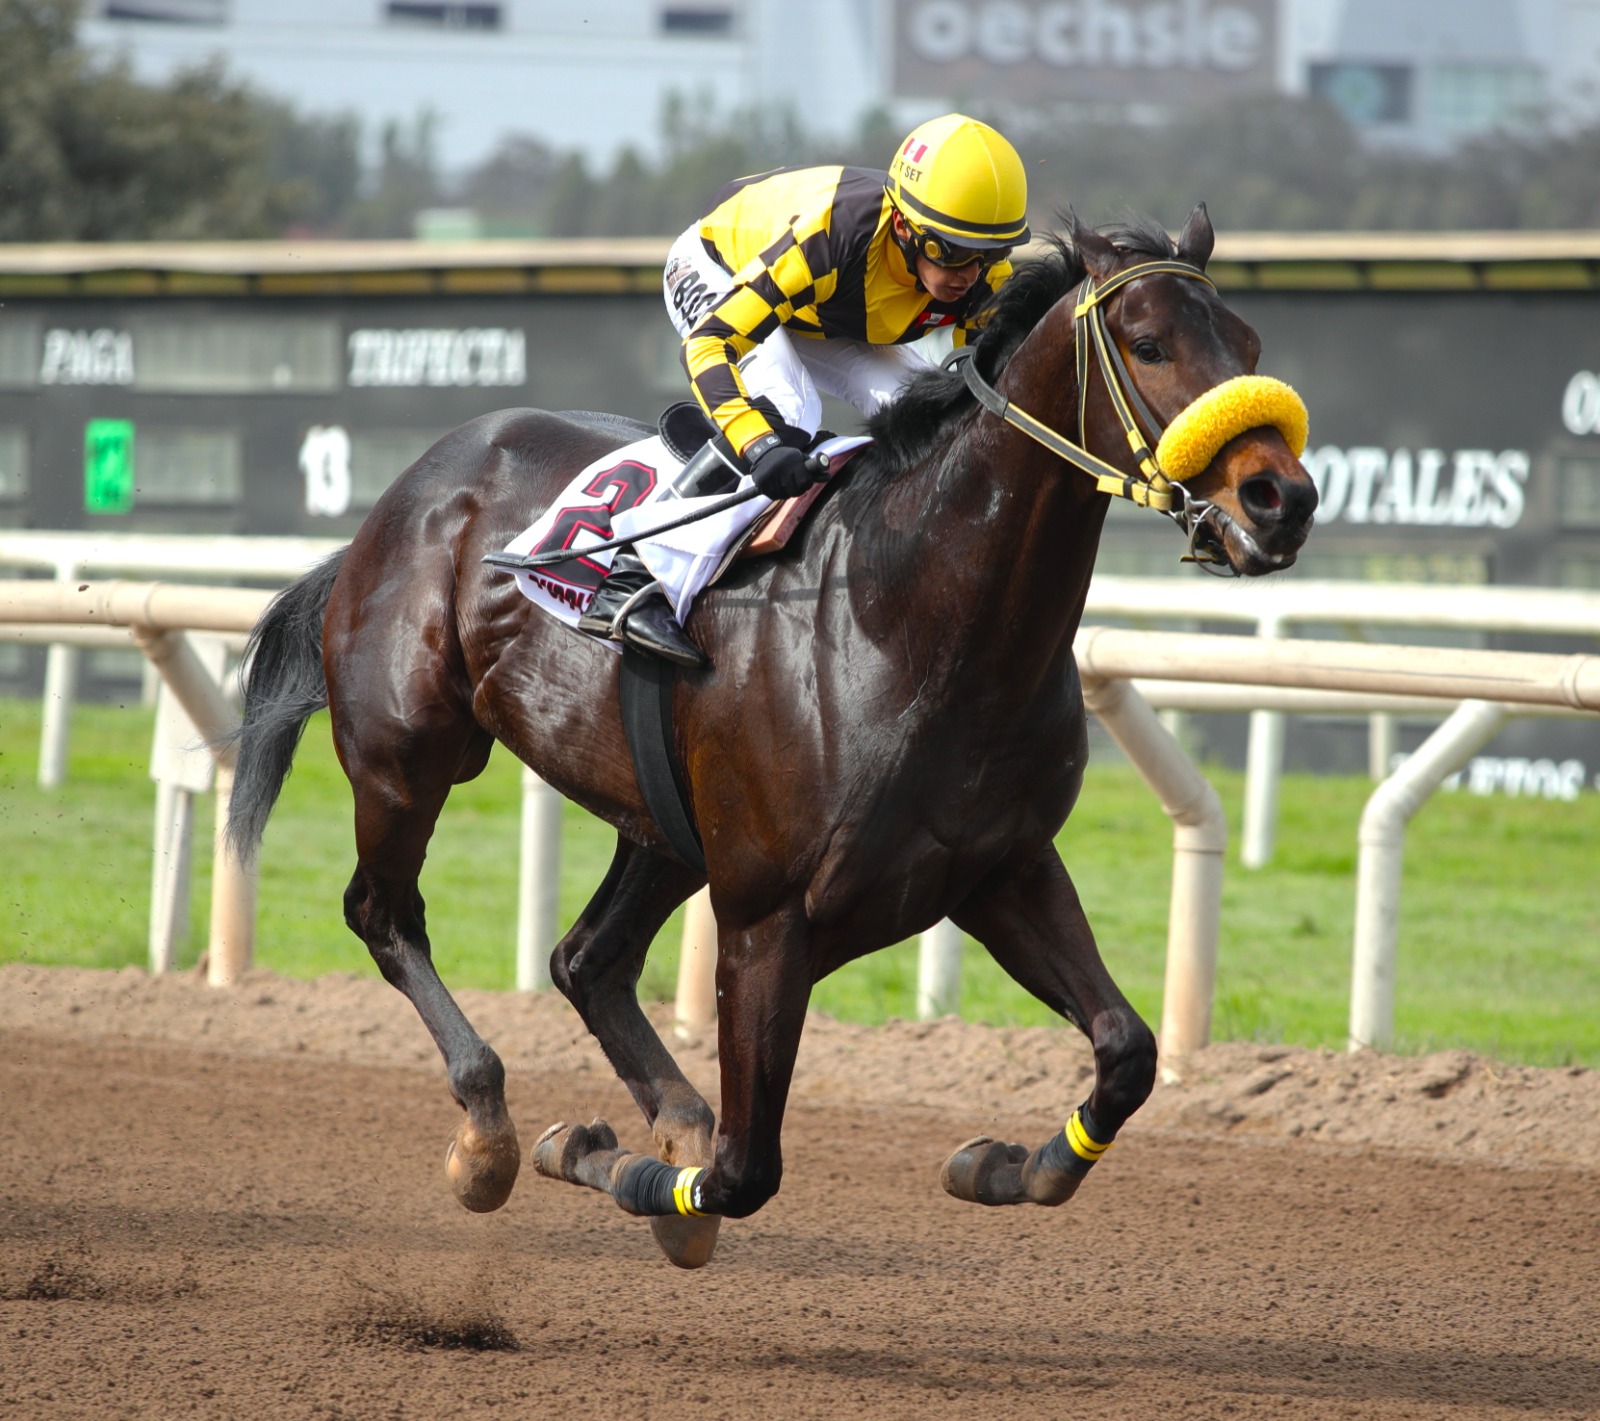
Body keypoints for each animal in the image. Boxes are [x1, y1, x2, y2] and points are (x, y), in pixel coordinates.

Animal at [228, 205, 1318, 1269]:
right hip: (406, 757)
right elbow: (744, 1170)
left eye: (1251, 344)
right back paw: (490, 1132)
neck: (905, 615)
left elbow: (1127, 1050)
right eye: (1149, 343)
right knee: (385, 912)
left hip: (661, 823)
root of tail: (403, 496)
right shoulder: (765, 913)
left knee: (585, 959)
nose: (1284, 499)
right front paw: (602, 1159)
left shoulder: (1000, 868)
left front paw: (1006, 1162)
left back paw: (660, 1112)